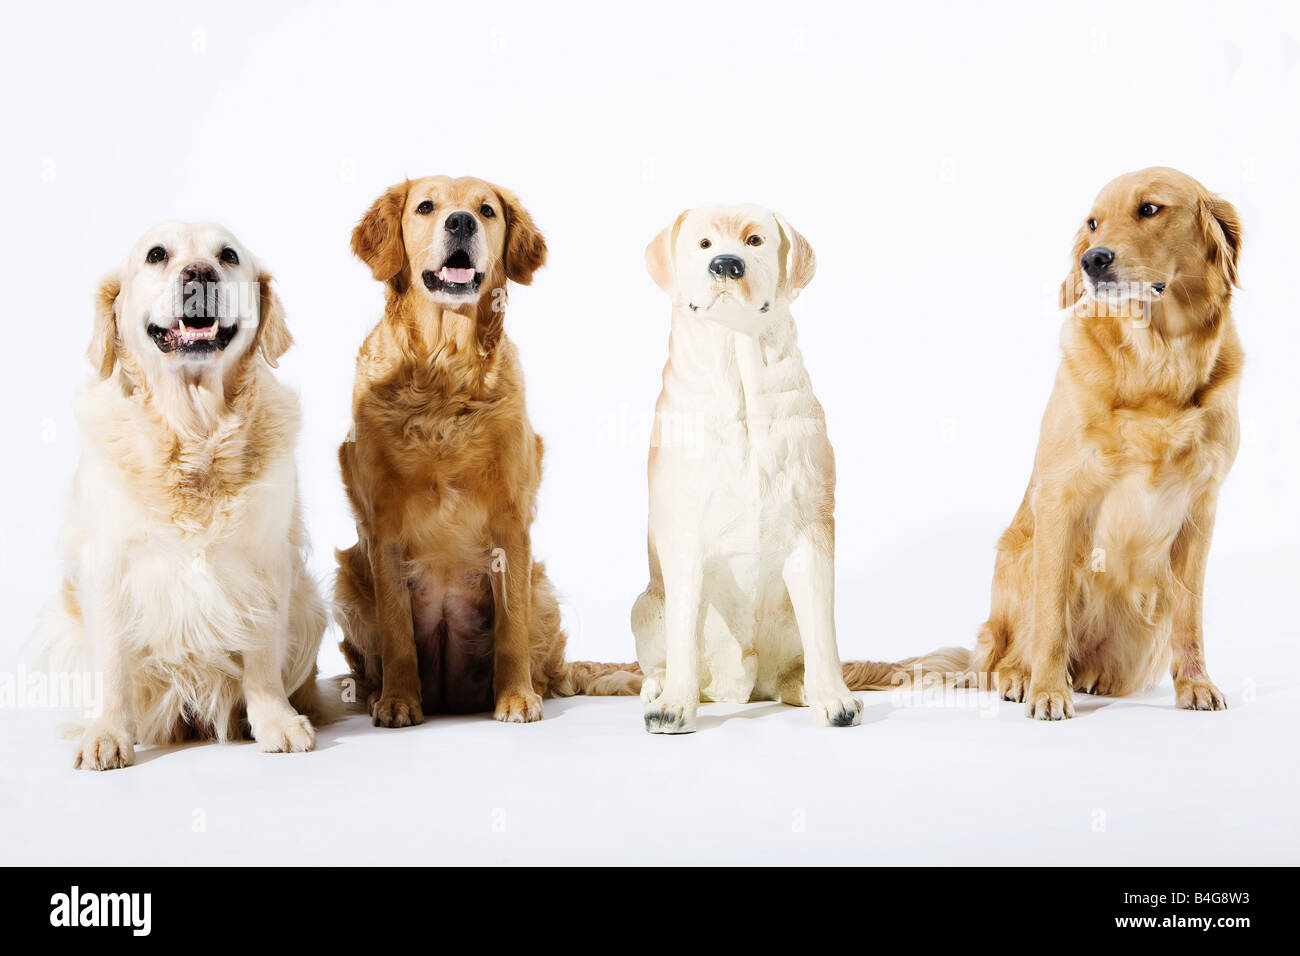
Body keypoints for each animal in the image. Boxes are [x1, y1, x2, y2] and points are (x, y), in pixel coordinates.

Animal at [39, 221, 327, 764]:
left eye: (228, 255)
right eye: (157, 255)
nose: (199, 274)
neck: (194, 431)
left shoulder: (265, 561)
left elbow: (261, 653)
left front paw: (275, 721)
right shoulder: (109, 565)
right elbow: (113, 663)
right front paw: (108, 732)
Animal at [631, 208, 863, 733]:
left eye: (755, 240)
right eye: (703, 243)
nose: (726, 265)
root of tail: (744, 685)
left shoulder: (812, 533)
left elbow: (823, 632)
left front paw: (834, 699)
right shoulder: (683, 538)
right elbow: (683, 637)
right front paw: (674, 705)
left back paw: (806, 688)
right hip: (646, 606)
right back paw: (659, 687)